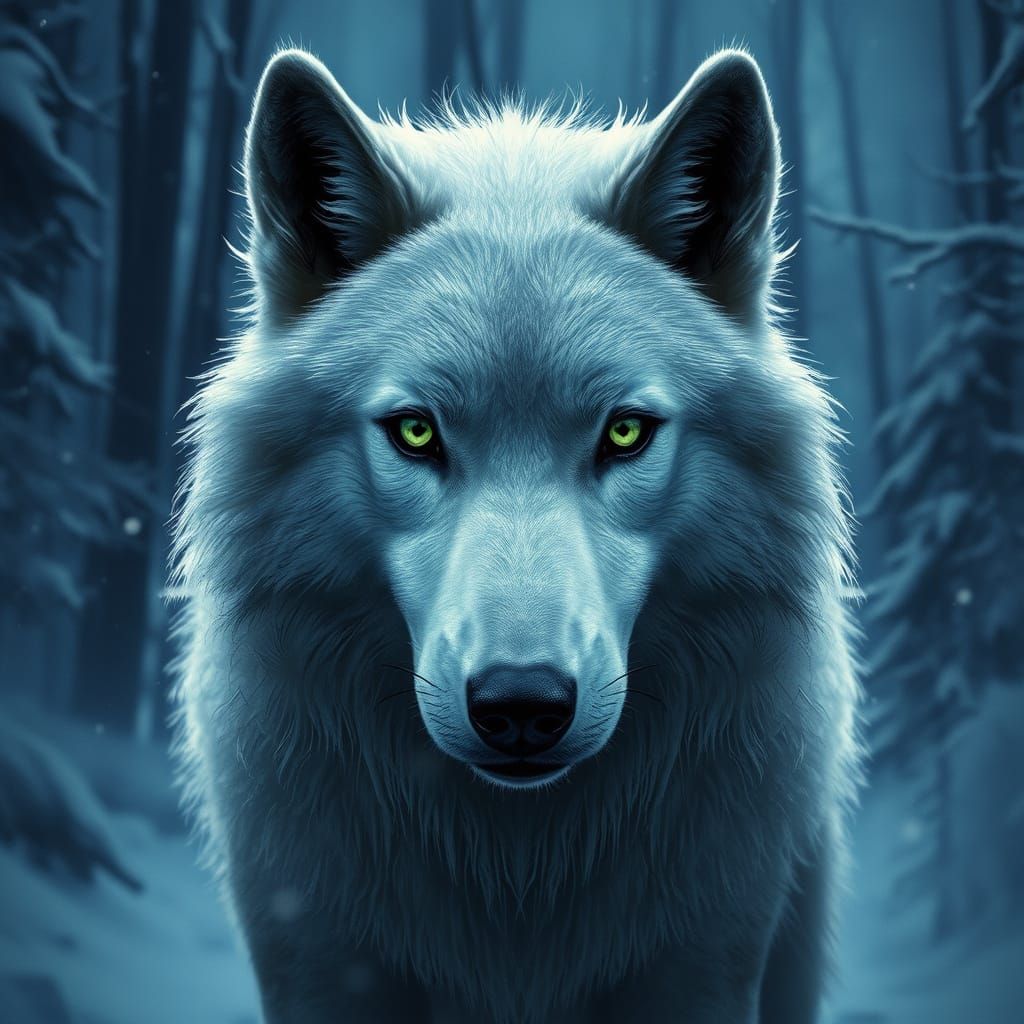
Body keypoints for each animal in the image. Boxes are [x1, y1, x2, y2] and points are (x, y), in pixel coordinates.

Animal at [172, 45, 860, 1024]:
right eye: (416, 432)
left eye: (625, 432)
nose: (522, 704)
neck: (516, 865)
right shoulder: (322, 959)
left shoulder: (699, 964)